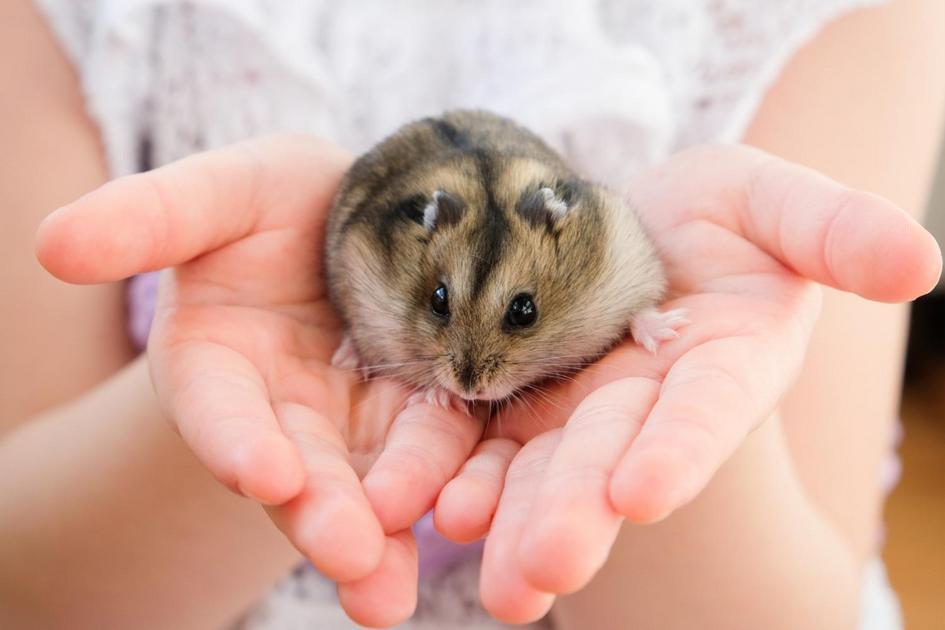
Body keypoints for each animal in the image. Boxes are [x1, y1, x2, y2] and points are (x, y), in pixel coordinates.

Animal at [325, 110, 685, 404]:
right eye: (438, 300)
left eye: (524, 311)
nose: (468, 389)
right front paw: (438, 398)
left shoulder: (625, 252)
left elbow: (639, 310)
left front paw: (670, 331)